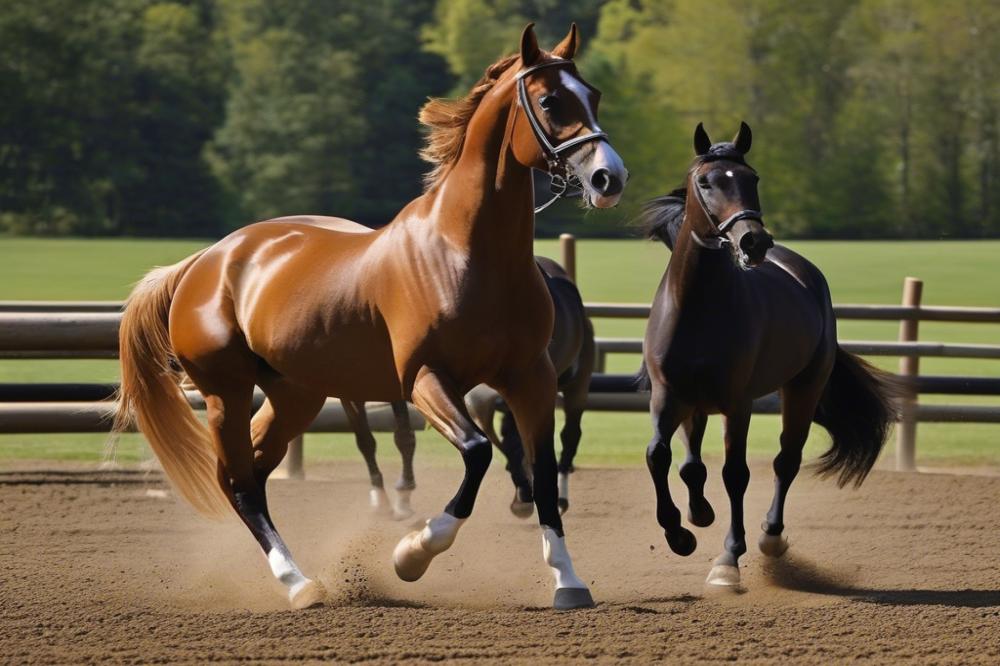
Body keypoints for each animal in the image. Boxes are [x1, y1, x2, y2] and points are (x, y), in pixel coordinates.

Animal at [640, 120, 908, 588]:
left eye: (753, 179)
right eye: (706, 182)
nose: (754, 241)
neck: (697, 308)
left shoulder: (737, 403)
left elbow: (736, 474)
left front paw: (728, 559)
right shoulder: (669, 395)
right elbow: (663, 457)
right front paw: (681, 532)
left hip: (802, 390)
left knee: (787, 461)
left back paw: (771, 536)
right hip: (699, 404)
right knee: (694, 463)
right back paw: (701, 513)